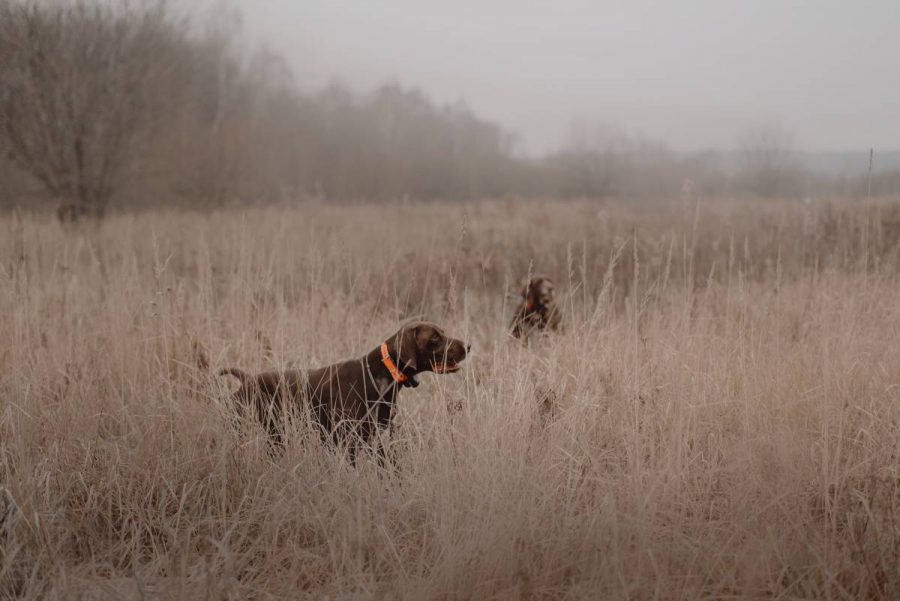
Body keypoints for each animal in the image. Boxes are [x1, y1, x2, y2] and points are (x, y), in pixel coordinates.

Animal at [221, 322, 468, 458]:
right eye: (435, 337)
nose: (468, 346)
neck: (380, 374)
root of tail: (247, 379)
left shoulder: (377, 439)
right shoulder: (346, 441)